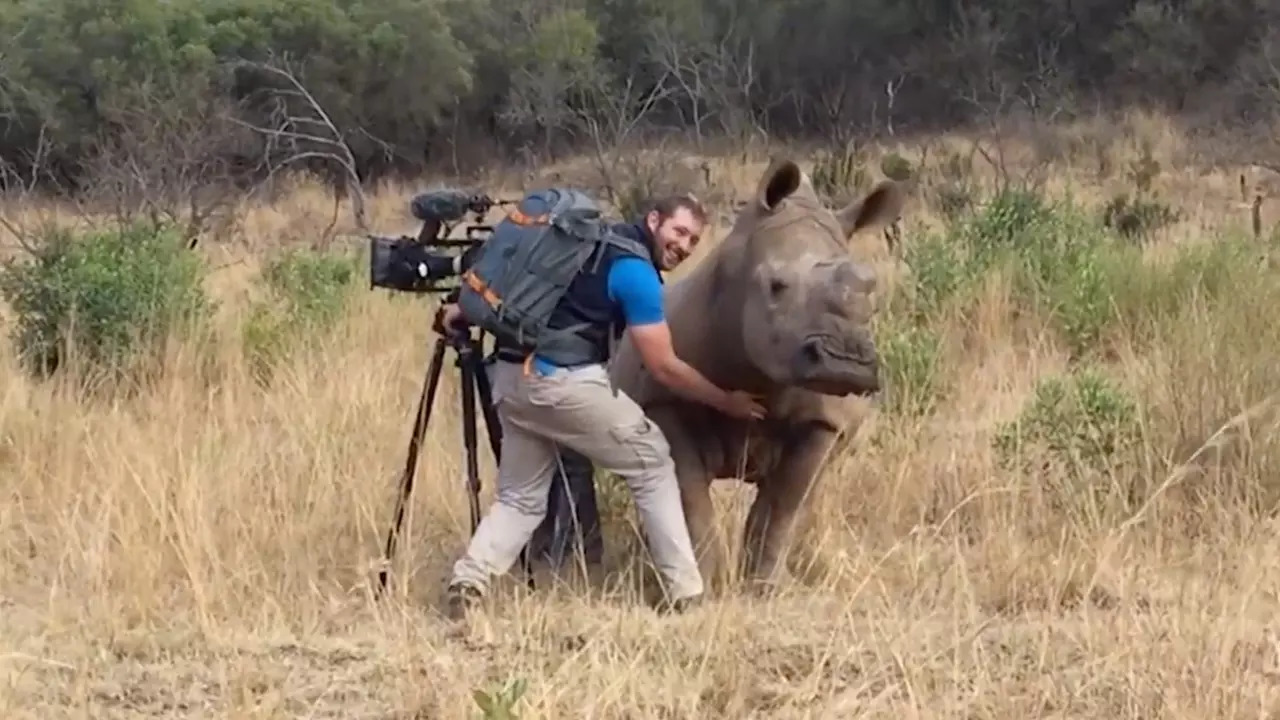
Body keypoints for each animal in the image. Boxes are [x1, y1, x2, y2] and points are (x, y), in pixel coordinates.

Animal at [604, 156, 906, 589]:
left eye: (871, 293)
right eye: (776, 286)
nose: (844, 363)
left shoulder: (825, 420)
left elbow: (784, 503)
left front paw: (766, 587)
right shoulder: (663, 401)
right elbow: (689, 496)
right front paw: (710, 585)